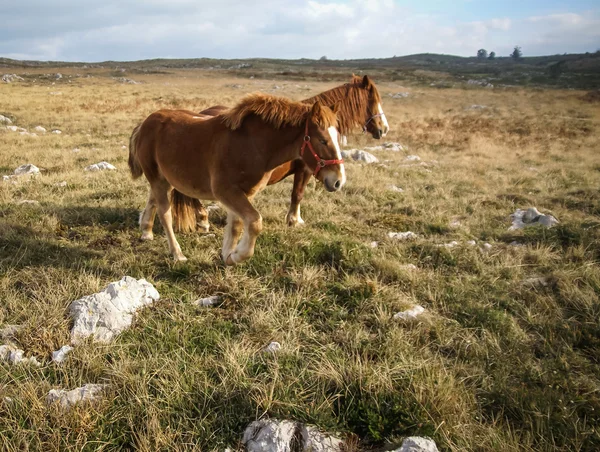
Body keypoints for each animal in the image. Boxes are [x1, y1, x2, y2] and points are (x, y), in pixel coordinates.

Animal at [129, 94, 344, 264]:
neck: (253, 144)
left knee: (153, 200)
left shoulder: (245, 192)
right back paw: (177, 253)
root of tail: (145, 122)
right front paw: (239, 255)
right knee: (165, 213)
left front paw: (228, 255)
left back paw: (146, 231)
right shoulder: (226, 191)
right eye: (322, 140)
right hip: (157, 179)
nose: (338, 181)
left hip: (164, 179)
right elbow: (255, 222)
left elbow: (237, 224)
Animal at [176, 75, 386, 230]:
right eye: (374, 101)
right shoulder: (304, 170)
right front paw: (294, 220)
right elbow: (297, 194)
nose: (384, 129)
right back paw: (203, 219)